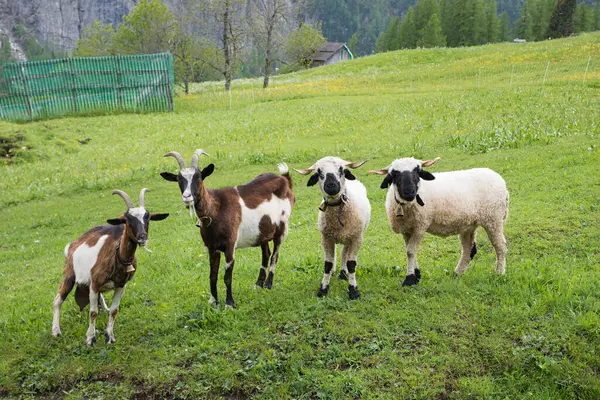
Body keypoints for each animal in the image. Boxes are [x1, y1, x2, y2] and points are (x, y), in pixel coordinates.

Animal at [51, 189, 169, 346]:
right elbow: (93, 312)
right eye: (127, 220)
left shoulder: (121, 285)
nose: (143, 236)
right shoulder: (95, 284)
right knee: (58, 300)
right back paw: (56, 331)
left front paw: (110, 336)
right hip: (69, 275)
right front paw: (90, 338)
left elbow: (114, 310)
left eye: (148, 218)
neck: (117, 255)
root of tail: (73, 244)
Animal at [161, 149, 294, 306]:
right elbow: (212, 275)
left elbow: (227, 276)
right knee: (265, 253)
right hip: (263, 231)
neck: (216, 209)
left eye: (199, 177)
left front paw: (229, 303)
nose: (187, 197)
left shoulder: (230, 245)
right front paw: (213, 302)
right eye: (179, 179)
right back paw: (258, 284)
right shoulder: (212, 247)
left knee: (275, 255)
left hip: (282, 227)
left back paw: (268, 284)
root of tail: (285, 180)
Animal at [296, 156, 370, 300]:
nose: (331, 186)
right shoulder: (326, 239)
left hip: (351, 236)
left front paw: (353, 291)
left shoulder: (356, 238)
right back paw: (336, 272)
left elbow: (352, 264)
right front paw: (323, 289)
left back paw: (343, 273)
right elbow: (327, 264)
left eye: (341, 170)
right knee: (339, 254)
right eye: (319, 172)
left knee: (345, 254)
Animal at [370, 156, 506, 284]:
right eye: (395, 174)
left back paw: (499, 273)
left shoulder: (421, 225)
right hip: (469, 224)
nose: (409, 192)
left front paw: (409, 279)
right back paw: (457, 273)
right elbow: (410, 250)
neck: (407, 205)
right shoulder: (407, 229)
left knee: (500, 246)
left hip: (494, 218)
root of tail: (498, 177)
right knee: (469, 249)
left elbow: (411, 251)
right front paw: (416, 275)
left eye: (418, 171)